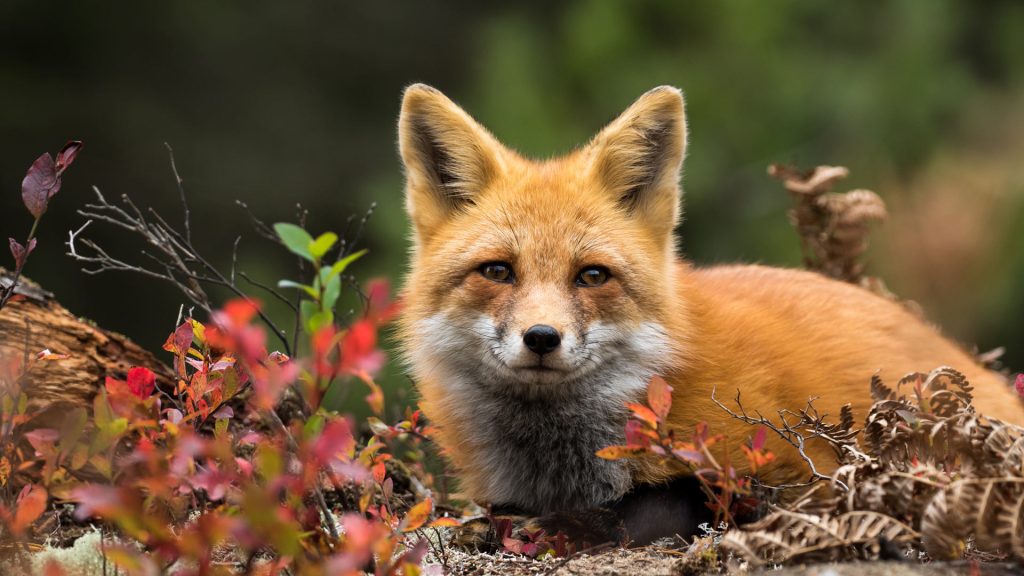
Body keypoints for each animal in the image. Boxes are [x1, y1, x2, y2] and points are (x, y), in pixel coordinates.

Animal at [395, 83, 1024, 545]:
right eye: (498, 271)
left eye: (592, 276)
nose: (543, 337)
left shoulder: (799, 474)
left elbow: (658, 505)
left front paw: (563, 527)